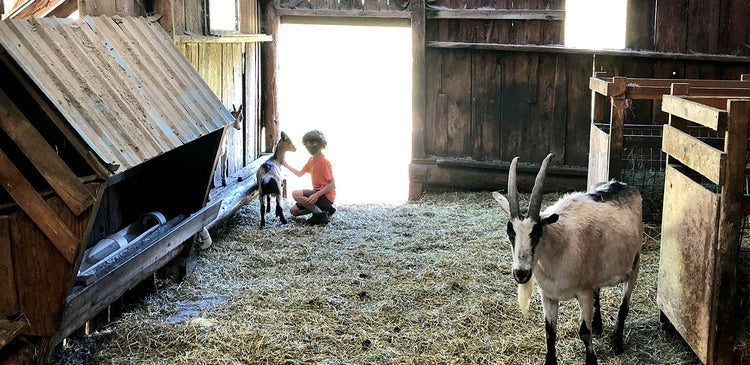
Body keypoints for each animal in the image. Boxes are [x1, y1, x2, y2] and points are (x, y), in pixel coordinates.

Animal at [494, 153, 648, 364]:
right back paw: (598, 327)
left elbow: (583, 332)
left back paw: (617, 344)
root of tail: (623, 185)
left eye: (537, 233)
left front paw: (592, 360)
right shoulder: (548, 295)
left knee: (624, 305)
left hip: (635, 263)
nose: (521, 273)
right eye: (511, 233)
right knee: (598, 293)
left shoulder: (583, 293)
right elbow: (550, 332)